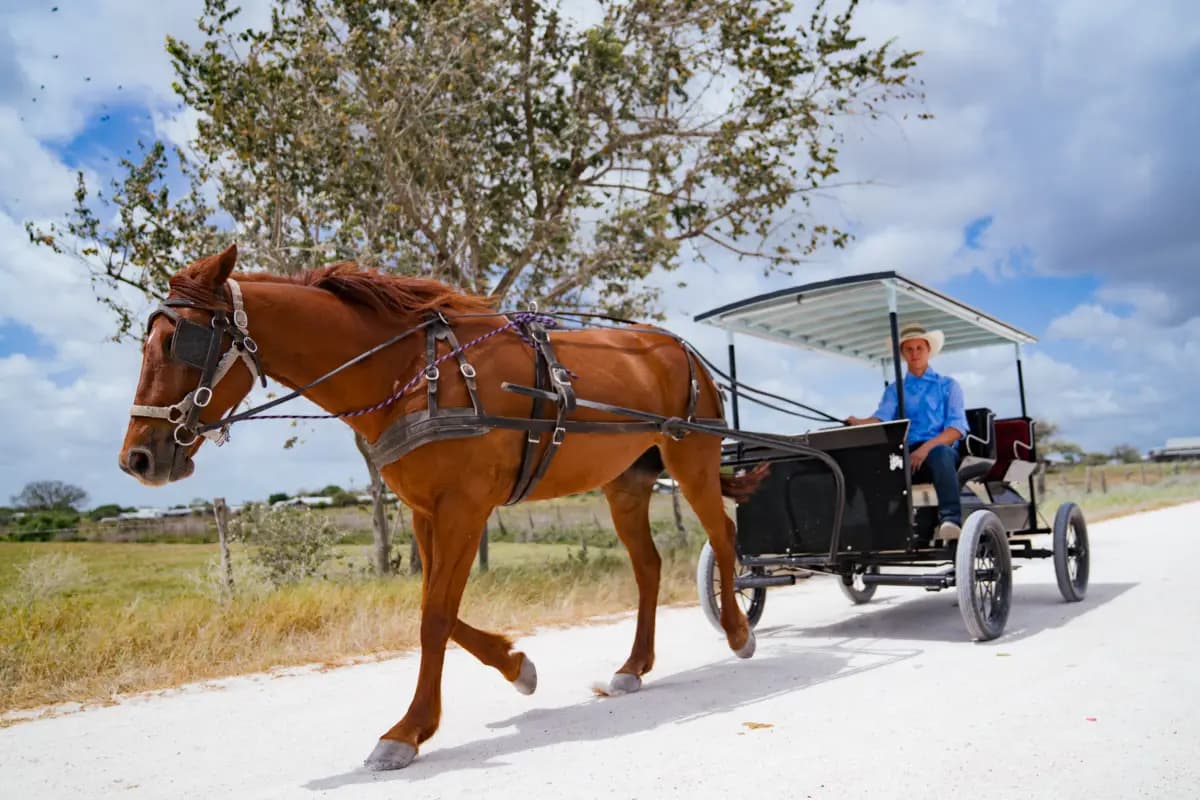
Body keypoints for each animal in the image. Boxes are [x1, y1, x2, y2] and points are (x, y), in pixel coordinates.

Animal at [119, 244, 765, 770]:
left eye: (178, 341)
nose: (137, 459)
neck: (411, 372)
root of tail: (680, 349)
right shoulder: (426, 512)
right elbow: (437, 608)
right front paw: (516, 665)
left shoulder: (464, 508)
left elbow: (434, 617)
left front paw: (407, 732)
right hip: (626, 483)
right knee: (648, 566)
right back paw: (634, 665)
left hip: (694, 461)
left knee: (724, 538)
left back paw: (737, 632)